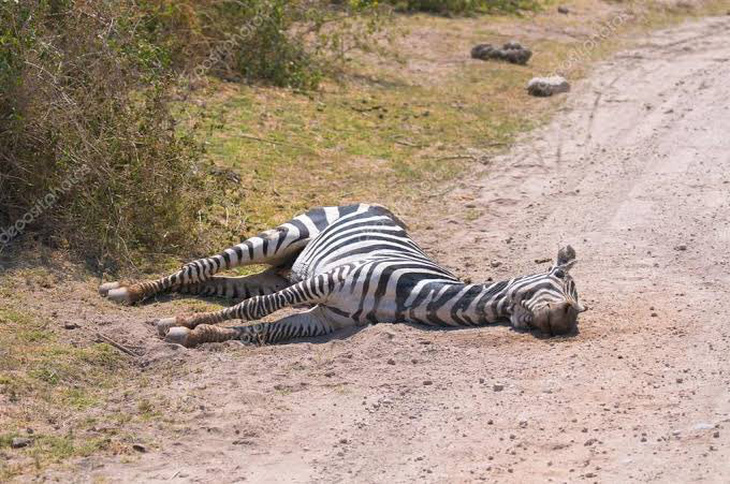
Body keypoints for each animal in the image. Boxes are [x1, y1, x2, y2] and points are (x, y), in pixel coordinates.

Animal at [98, 204, 584, 348]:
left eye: (577, 307)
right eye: (563, 285)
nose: (567, 318)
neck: (415, 293)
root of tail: (376, 203)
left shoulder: (328, 318)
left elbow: (260, 330)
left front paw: (194, 333)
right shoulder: (327, 284)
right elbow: (256, 312)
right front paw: (181, 323)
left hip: (281, 272)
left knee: (213, 283)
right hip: (286, 236)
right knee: (203, 266)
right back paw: (127, 290)